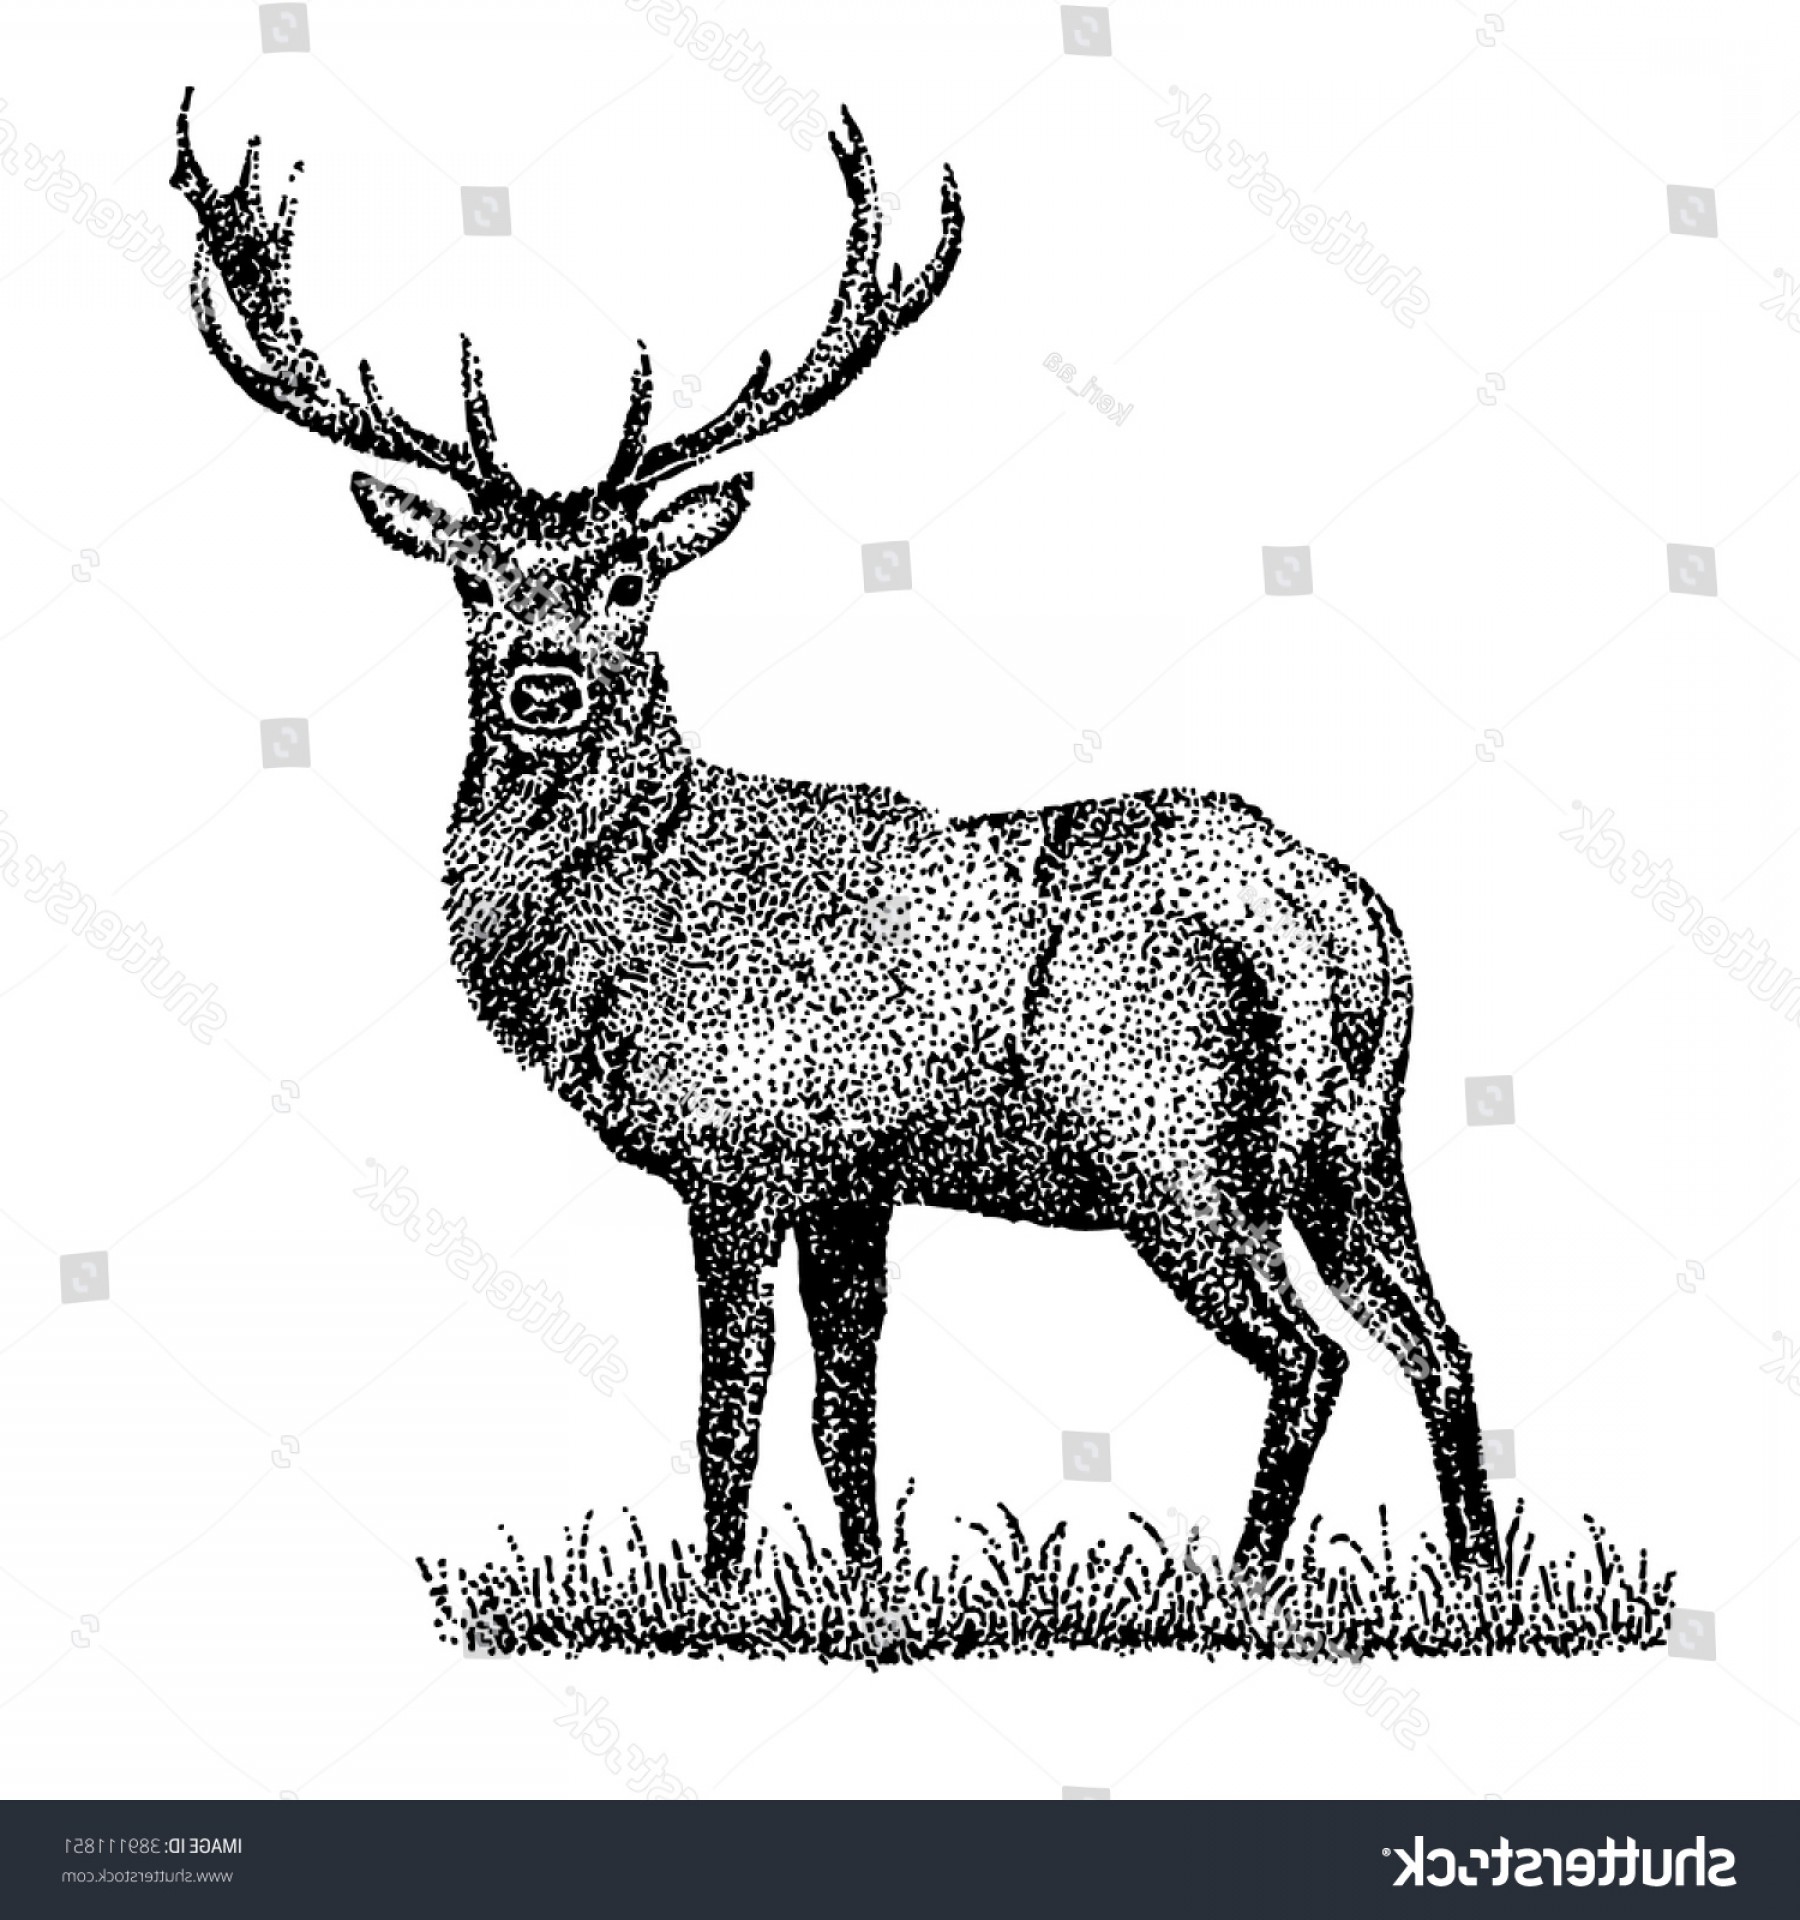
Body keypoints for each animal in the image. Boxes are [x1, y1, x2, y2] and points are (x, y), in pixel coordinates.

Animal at [173, 88, 1500, 1588]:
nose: (543, 685)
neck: (609, 941)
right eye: (473, 578)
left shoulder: (736, 1149)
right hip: (1359, 1144)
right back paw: (1477, 1572)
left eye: (628, 575)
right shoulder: (855, 1178)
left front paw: (719, 1593)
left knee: (1310, 1355)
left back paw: (1244, 1579)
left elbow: (730, 1410)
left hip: (1173, 1146)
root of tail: (1339, 915)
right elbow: (847, 1406)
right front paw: (870, 1586)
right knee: (1442, 1345)